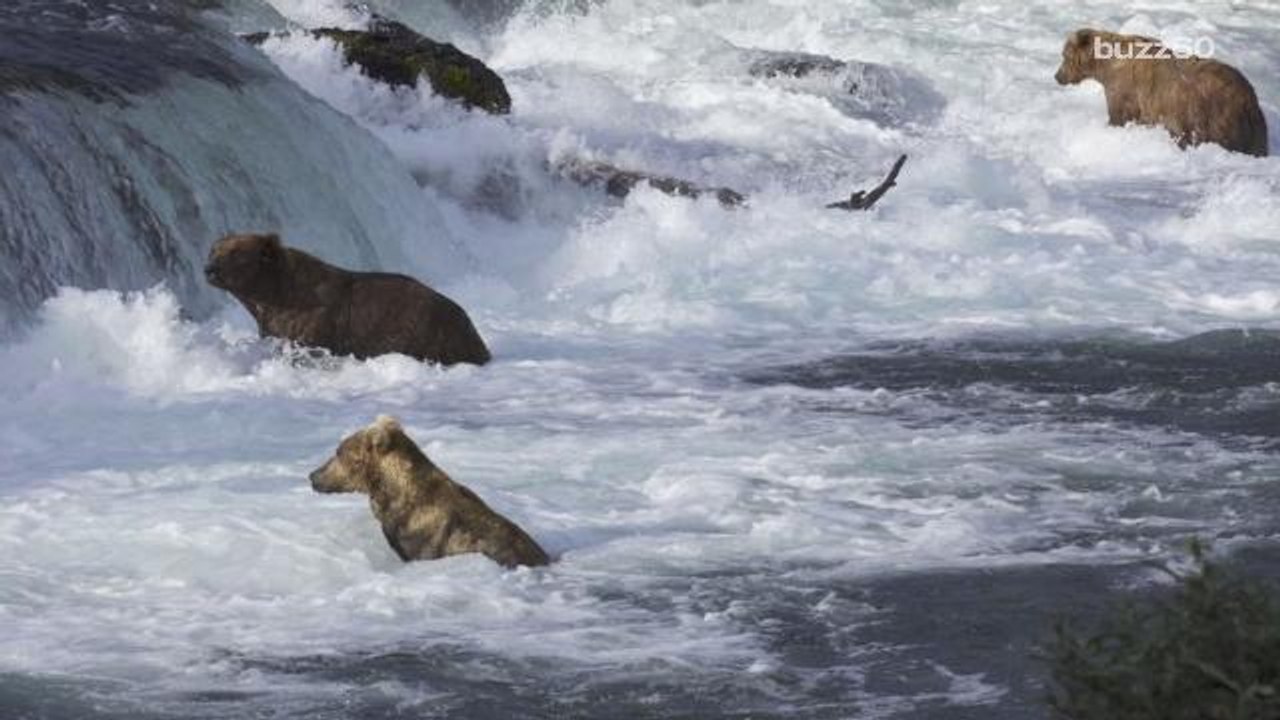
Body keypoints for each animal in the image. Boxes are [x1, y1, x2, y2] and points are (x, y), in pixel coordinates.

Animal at [1054, 29, 1268, 157]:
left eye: (1064, 55)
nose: (1057, 76)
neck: (1105, 66)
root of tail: (1250, 99)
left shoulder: (1125, 90)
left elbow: (1119, 116)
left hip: (1209, 113)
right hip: (1252, 127)